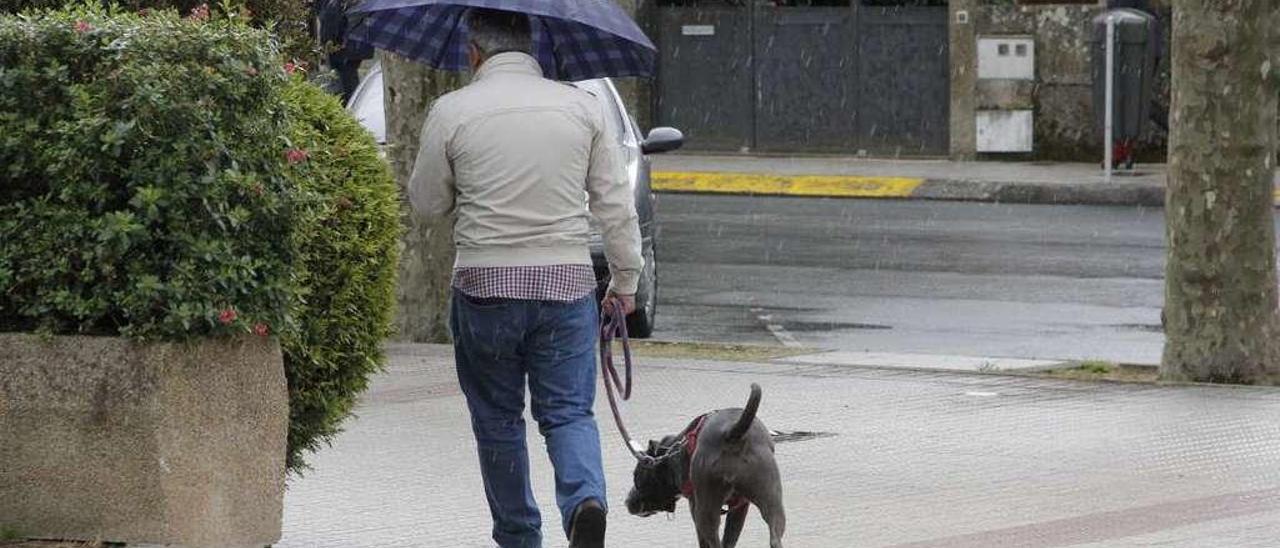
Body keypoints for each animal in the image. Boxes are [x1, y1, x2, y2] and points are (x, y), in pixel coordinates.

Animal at [624, 384, 783, 548]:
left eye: (636, 478)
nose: (627, 502)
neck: (671, 453)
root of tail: (732, 434)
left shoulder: (694, 506)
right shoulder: (740, 508)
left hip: (706, 509)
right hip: (771, 496)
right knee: (775, 536)